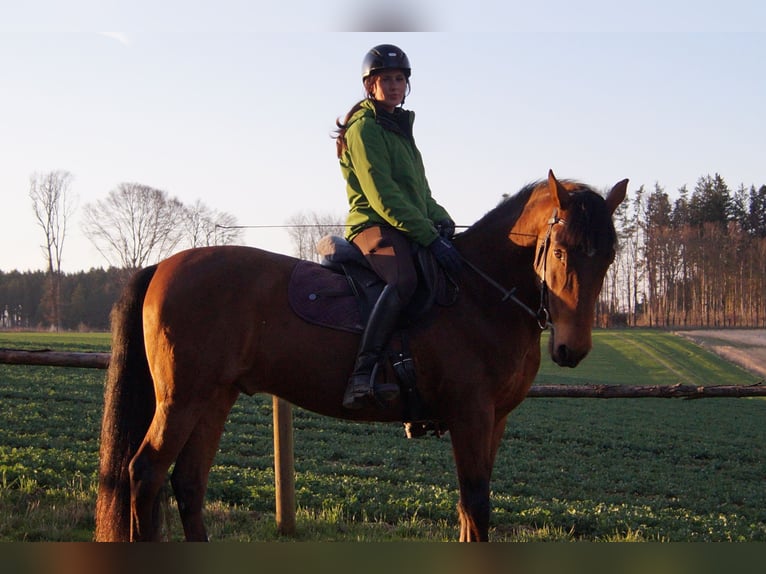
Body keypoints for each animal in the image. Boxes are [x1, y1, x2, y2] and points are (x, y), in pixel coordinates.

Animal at [94, 170, 627, 542]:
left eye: (609, 256)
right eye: (560, 251)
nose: (571, 349)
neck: (478, 293)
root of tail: (162, 264)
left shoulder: (493, 420)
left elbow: (467, 508)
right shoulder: (470, 415)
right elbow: (477, 505)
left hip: (215, 397)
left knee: (188, 484)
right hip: (181, 399)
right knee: (145, 474)